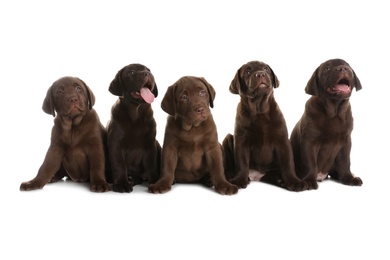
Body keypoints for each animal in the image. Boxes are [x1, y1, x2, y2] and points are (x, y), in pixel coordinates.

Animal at [106, 63, 160, 192]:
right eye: (131, 72)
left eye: (148, 70)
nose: (148, 73)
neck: (136, 112)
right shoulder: (116, 143)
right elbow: (119, 164)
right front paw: (121, 183)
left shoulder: (150, 143)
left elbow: (151, 163)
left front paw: (155, 181)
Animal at [222, 61, 308, 191]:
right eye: (247, 72)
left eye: (265, 69)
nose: (260, 74)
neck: (259, 110)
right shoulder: (241, 141)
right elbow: (242, 163)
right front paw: (239, 180)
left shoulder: (283, 141)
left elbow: (288, 164)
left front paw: (294, 181)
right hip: (227, 138)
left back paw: (280, 181)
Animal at [290, 59, 362, 189]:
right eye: (327, 68)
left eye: (347, 65)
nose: (343, 68)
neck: (335, 112)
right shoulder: (309, 141)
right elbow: (310, 163)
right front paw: (309, 180)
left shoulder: (346, 142)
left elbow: (345, 162)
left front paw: (348, 178)